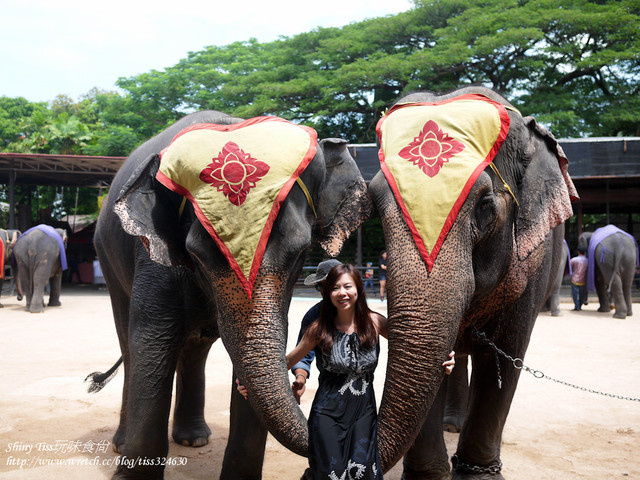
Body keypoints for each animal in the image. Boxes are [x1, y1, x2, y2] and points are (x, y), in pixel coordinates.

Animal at [90, 109, 370, 480]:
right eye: (196, 256)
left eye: (301, 253)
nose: (298, 389)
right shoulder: (153, 257)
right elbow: (153, 341)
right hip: (106, 255)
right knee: (129, 339)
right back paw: (124, 444)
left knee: (195, 346)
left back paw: (193, 439)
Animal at [364, 87, 580, 480]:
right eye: (373, 202)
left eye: (484, 205)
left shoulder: (534, 259)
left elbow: (505, 355)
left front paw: (476, 474)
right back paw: (452, 424)